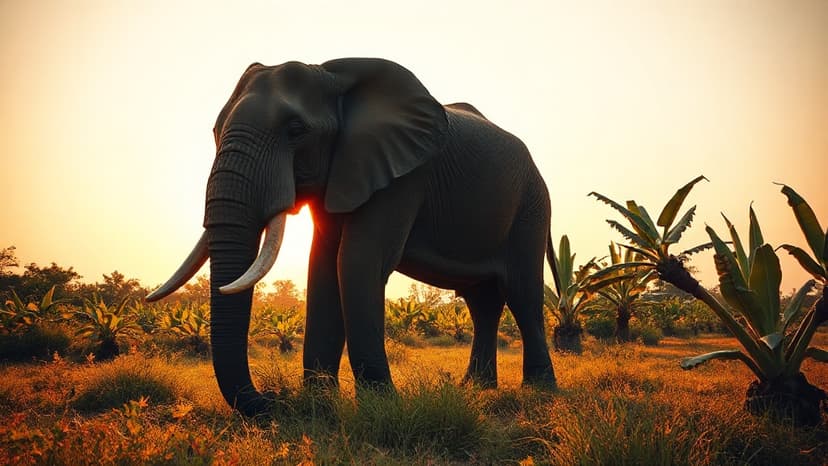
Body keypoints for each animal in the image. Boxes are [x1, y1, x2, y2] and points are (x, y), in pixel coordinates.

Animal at [147, 58, 562, 416]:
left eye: (296, 132)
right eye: (215, 132)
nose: (272, 401)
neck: (332, 77)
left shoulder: (404, 176)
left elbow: (357, 261)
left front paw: (382, 405)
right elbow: (322, 265)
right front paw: (319, 402)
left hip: (531, 206)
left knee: (522, 294)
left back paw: (539, 391)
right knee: (483, 303)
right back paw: (475, 389)